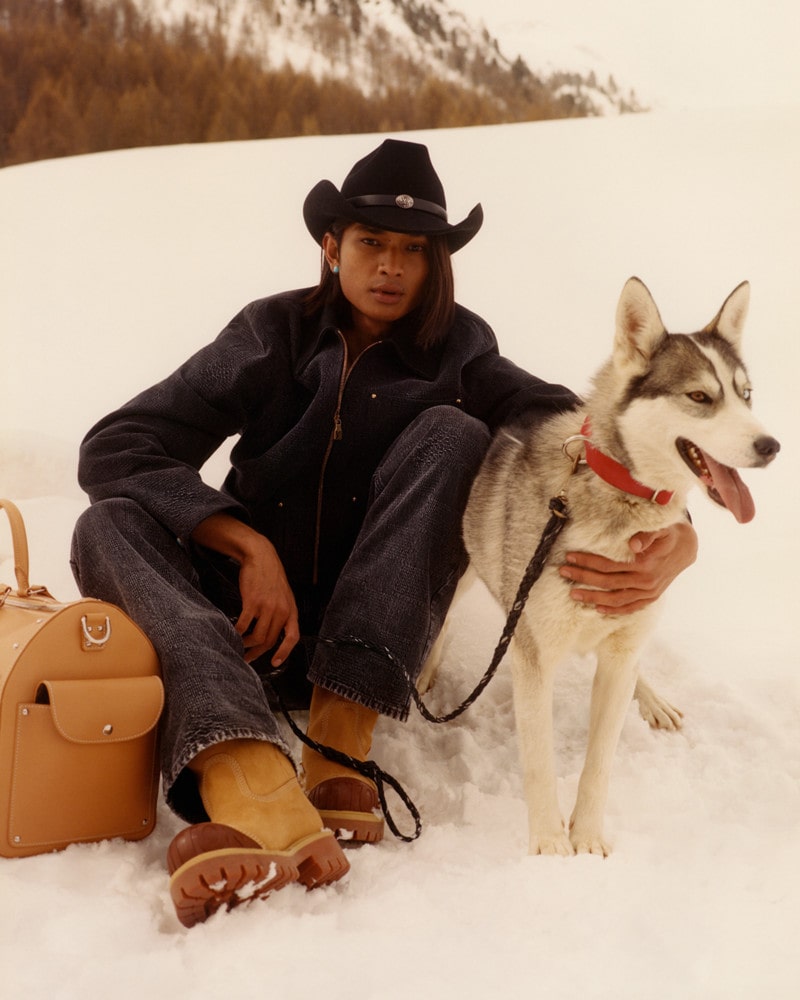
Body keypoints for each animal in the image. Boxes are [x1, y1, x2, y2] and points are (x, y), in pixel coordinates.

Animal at [456, 278, 780, 856]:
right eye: (700, 397)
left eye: (745, 395)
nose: (771, 446)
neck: (622, 499)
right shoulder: (533, 657)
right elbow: (539, 761)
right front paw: (548, 843)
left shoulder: (619, 648)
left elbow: (599, 763)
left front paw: (585, 837)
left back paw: (651, 697)